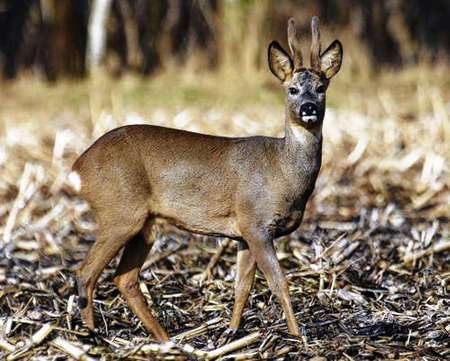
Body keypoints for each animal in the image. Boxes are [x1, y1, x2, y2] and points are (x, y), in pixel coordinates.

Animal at [72, 16, 342, 342]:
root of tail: (79, 166)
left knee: (124, 277)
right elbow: (279, 283)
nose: (308, 108)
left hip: (145, 224)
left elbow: (242, 286)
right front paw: (298, 337)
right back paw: (92, 336)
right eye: (292, 89)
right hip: (120, 213)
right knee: (86, 272)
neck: (283, 171)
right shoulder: (256, 224)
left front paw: (232, 331)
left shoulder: (242, 234)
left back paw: (165, 340)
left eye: (321, 87)